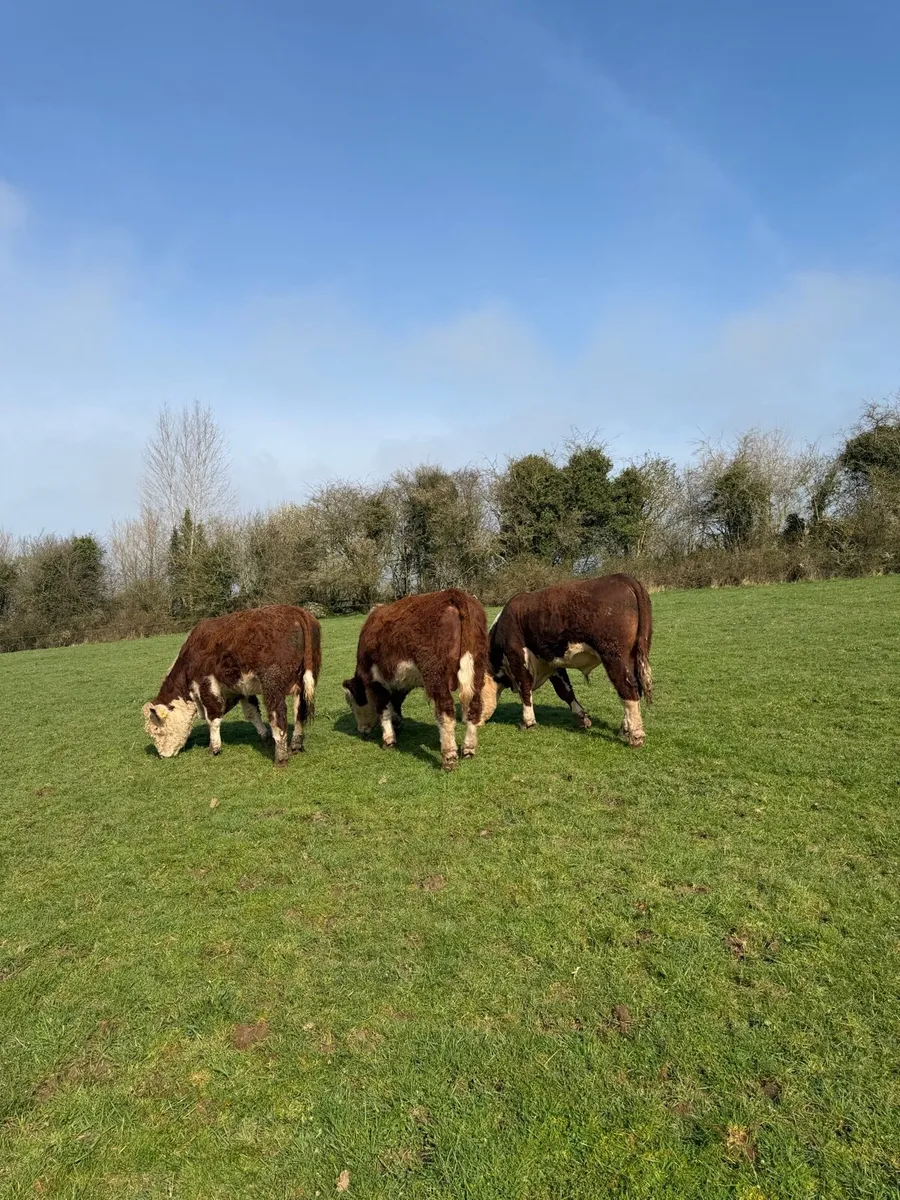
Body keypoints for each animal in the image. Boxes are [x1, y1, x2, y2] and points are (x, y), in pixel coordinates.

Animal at [142, 605, 322, 765]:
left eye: (157, 730)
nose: (163, 756)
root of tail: (295, 611)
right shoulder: (242, 689)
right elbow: (251, 712)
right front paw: (264, 736)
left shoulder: (207, 685)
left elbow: (213, 717)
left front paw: (214, 748)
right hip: (304, 683)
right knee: (299, 713)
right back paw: (296, 745)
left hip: (273, 687)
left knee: (278, 716)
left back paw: (281, 758)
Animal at [342, 588, 498, 771]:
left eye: (352, 704)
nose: (361, 730)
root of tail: (454, 594)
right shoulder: (398, 681)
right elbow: (396, 703)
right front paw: (397, 723)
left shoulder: (376, 680)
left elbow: (383, 709)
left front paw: (389, 739)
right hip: (477, 667)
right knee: (474, 706)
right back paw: (468, 749)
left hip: (436, 675)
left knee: (445, 711)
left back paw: (449, 758)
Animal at [488, 573, 653, 745]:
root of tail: (622, 577)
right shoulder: (552, 663)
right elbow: (564, 690)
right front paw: (581, 718)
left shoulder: (516, 657)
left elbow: (524, 688)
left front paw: (527, 722)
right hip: (635, 656)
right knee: (636, 688)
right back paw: (625, 729)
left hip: (615, 656)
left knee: (628, 689)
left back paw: (635, 736)